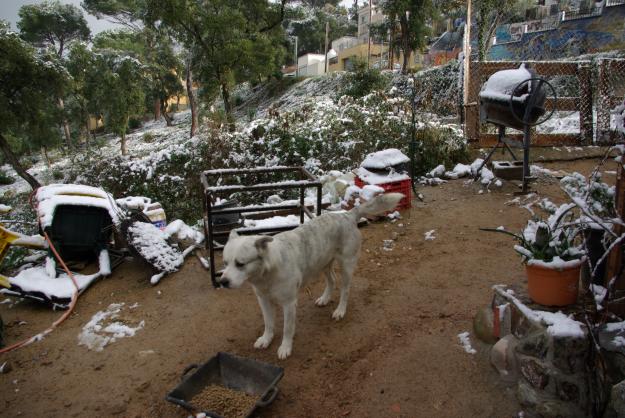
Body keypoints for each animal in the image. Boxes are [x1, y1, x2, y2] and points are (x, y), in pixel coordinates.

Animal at [222, 193, 402, 360]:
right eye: (225, 263)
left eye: (240, 264)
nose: (223, 282)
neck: (267, 271)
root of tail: (347, 215)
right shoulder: (263, 300)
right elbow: (268, 324)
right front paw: (266, 339)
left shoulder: (289, 303)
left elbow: (287, 329)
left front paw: (285, 347)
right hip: (323, 264)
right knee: (332, 281)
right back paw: (325, 299)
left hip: (346, 266)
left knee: (345, 290)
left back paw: (340, 310)